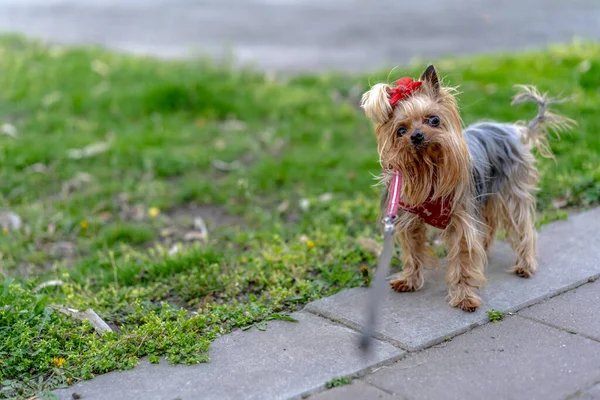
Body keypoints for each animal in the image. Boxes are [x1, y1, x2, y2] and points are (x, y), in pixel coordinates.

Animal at [358, 65, 576, 310]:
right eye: (401, 131)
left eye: (434, 120)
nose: (417, 136)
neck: (429, 168)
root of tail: (513, 131)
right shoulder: (408, 217)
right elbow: (412, 249)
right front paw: (410, 279)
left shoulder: (460, 218)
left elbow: (463, 256)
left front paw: (464, 296)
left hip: (512, 191)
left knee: (522, 225)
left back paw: (525, 264)